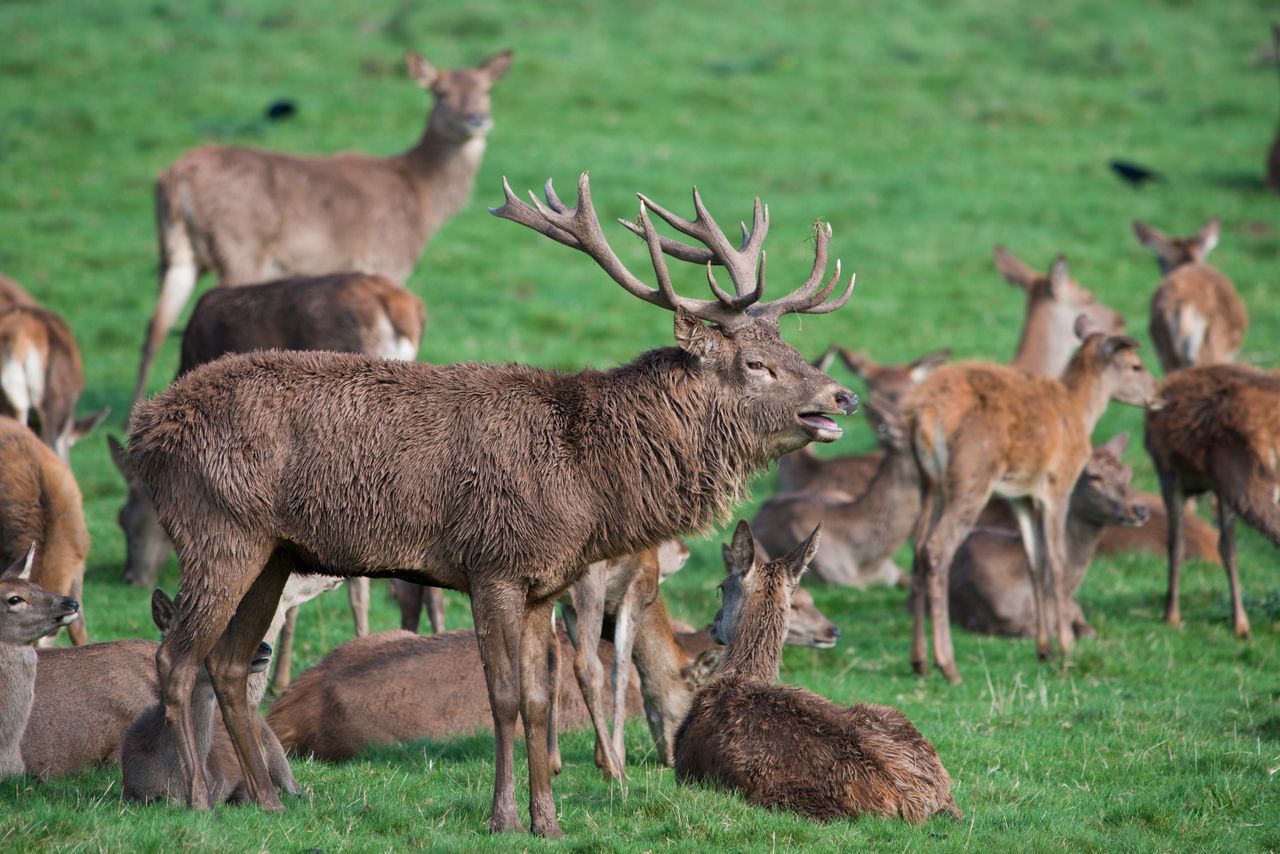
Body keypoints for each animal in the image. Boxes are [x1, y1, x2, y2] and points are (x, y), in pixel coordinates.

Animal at [130, 49, 513, 414]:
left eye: (486, 90)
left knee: (155, 324)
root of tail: (175, 178)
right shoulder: (386, 260)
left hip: (178, 251)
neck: (421, 198)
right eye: (440, 91)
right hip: (239, 248)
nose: (477, 119)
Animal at [549, 538, 689, 780]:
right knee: (583, 666)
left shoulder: (568, 606)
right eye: (694, 693)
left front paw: (599, 757)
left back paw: (550, 761)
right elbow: (619, 671)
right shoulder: (637, 588)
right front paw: (616, 757)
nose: (674, 760)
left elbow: (598, 668)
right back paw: (616, 770)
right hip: (590, 584)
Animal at [675, 520, 960, 824]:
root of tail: (923, 802)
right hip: (888, 714)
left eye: (721, 586)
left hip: (796, 801)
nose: (714, 624)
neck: (743, 673)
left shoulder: (684, 767)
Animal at [1145, 364, 1280, 639]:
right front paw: (1240, 622)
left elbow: (1175, 544)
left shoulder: (1168, 473)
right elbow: (1228, 548)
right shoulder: (1220, 486)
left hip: (1249, 483)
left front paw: (1171, 616)